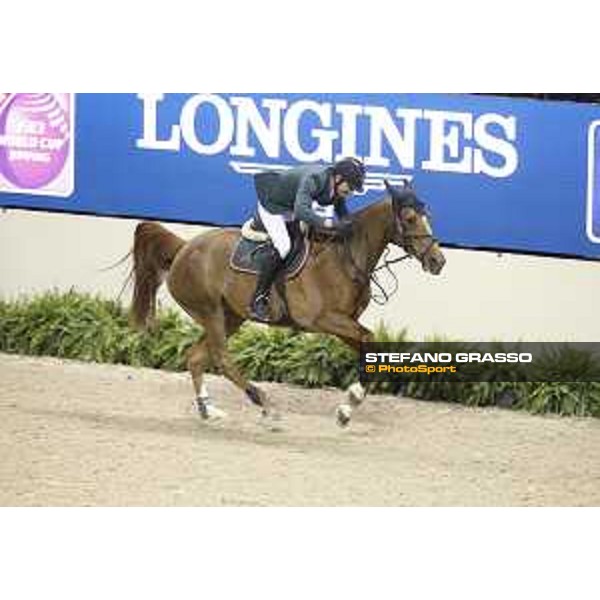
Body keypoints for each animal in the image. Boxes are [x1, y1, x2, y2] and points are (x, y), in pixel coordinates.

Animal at [127, 182, 446, 426]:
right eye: (409, 218)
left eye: (427, 214)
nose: (438, 261)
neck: (344, 258)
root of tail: (184, 248)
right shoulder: (324, 320)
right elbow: (370, 339)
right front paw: (349, 404)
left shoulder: (345, 324)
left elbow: (371, 347)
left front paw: (346, 409)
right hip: (211, 311)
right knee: (221, 358)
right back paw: (263, 402)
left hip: (231, 316)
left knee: (196, 357)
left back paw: (209, 410)